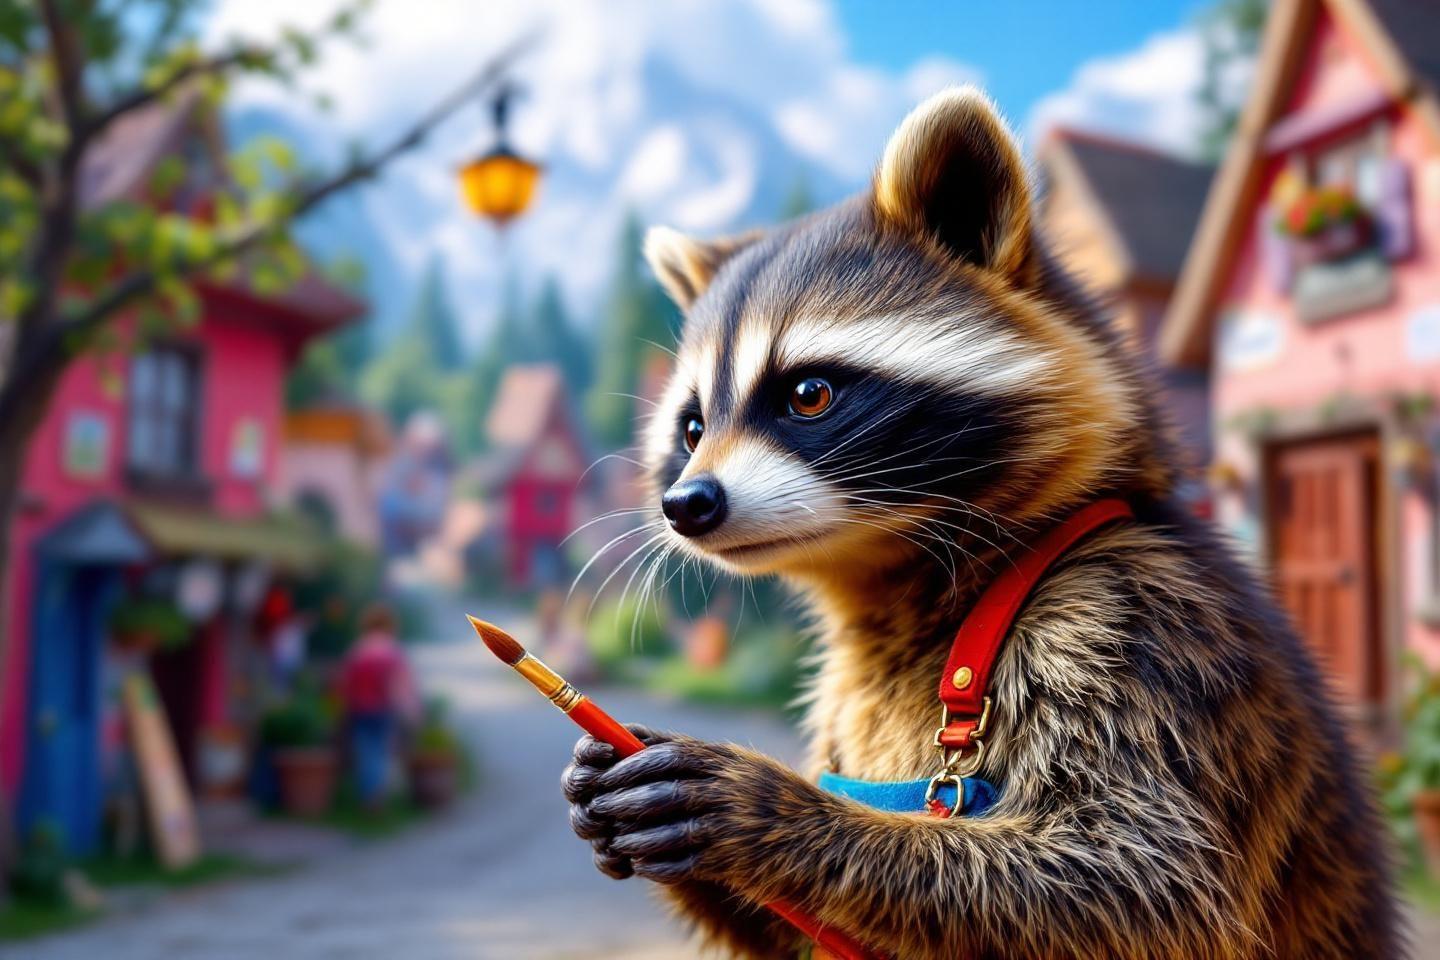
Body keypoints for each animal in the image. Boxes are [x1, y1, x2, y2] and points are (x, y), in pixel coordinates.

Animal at [561, 88, 1400, 959]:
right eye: (693, 428)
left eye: (808, 395)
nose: (688, 504)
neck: (893, 572)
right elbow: (795, 931)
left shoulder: (1135, 626)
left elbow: (1140, 882)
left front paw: (780, 813)